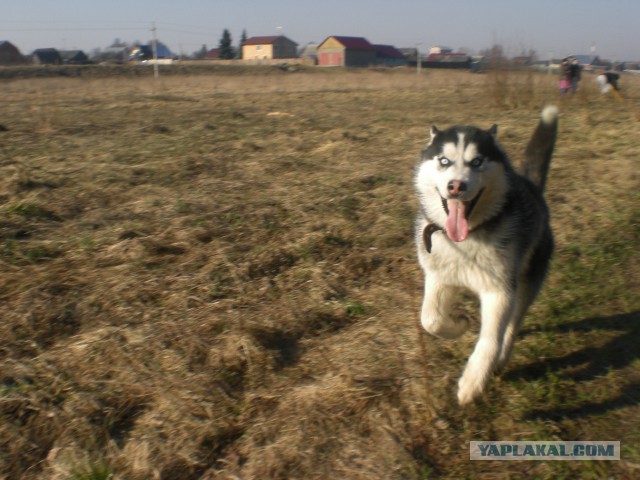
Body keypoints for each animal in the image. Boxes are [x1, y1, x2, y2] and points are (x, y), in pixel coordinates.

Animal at [416, 106, 560, 404]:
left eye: (477, 161)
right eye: (444, 160)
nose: (456, 186)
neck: (469, 236)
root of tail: (532, 187)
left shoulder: (500, 290)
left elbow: (491, 340)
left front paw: (472, 382)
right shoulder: (439, 277)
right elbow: (430, 319)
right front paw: (458, 323)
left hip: (527, 281)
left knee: (512, 325)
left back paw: (501, 359)